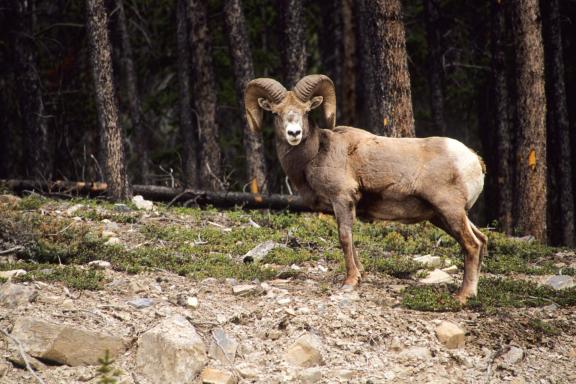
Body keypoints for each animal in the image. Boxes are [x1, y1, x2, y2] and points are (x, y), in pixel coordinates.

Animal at [243, 74, 486, 304]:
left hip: (450, 210)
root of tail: (474, 160)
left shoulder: (342, 199)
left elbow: (344, 237)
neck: (315, 154)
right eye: (276, 113)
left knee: (472, 245)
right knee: (481, 239)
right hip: (442, 216)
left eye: (306, 111)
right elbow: (351, 240)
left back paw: (463, 296)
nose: (294, 133)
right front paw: (361, 274)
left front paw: (350, 281)